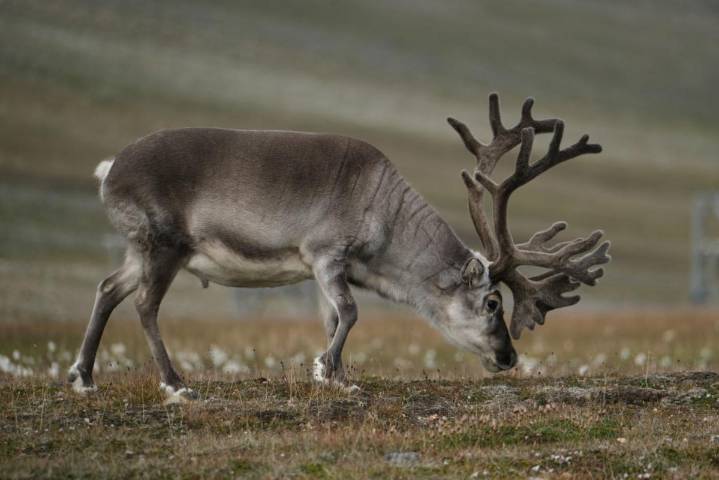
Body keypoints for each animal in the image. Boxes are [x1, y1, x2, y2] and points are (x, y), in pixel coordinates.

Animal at [68, 93, 610, 399]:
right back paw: (176, 383)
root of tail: (109, 170)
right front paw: (326, 370)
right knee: (144, 304)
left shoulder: (328, 270)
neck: (386, 219)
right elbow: (350, 313)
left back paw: (84, 377)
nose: (509, 357)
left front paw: (339, 375)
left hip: (139, 249)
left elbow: (333, 318)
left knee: (107, 288)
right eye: (493, 302)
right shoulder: (325, 253)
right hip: (164, 245)